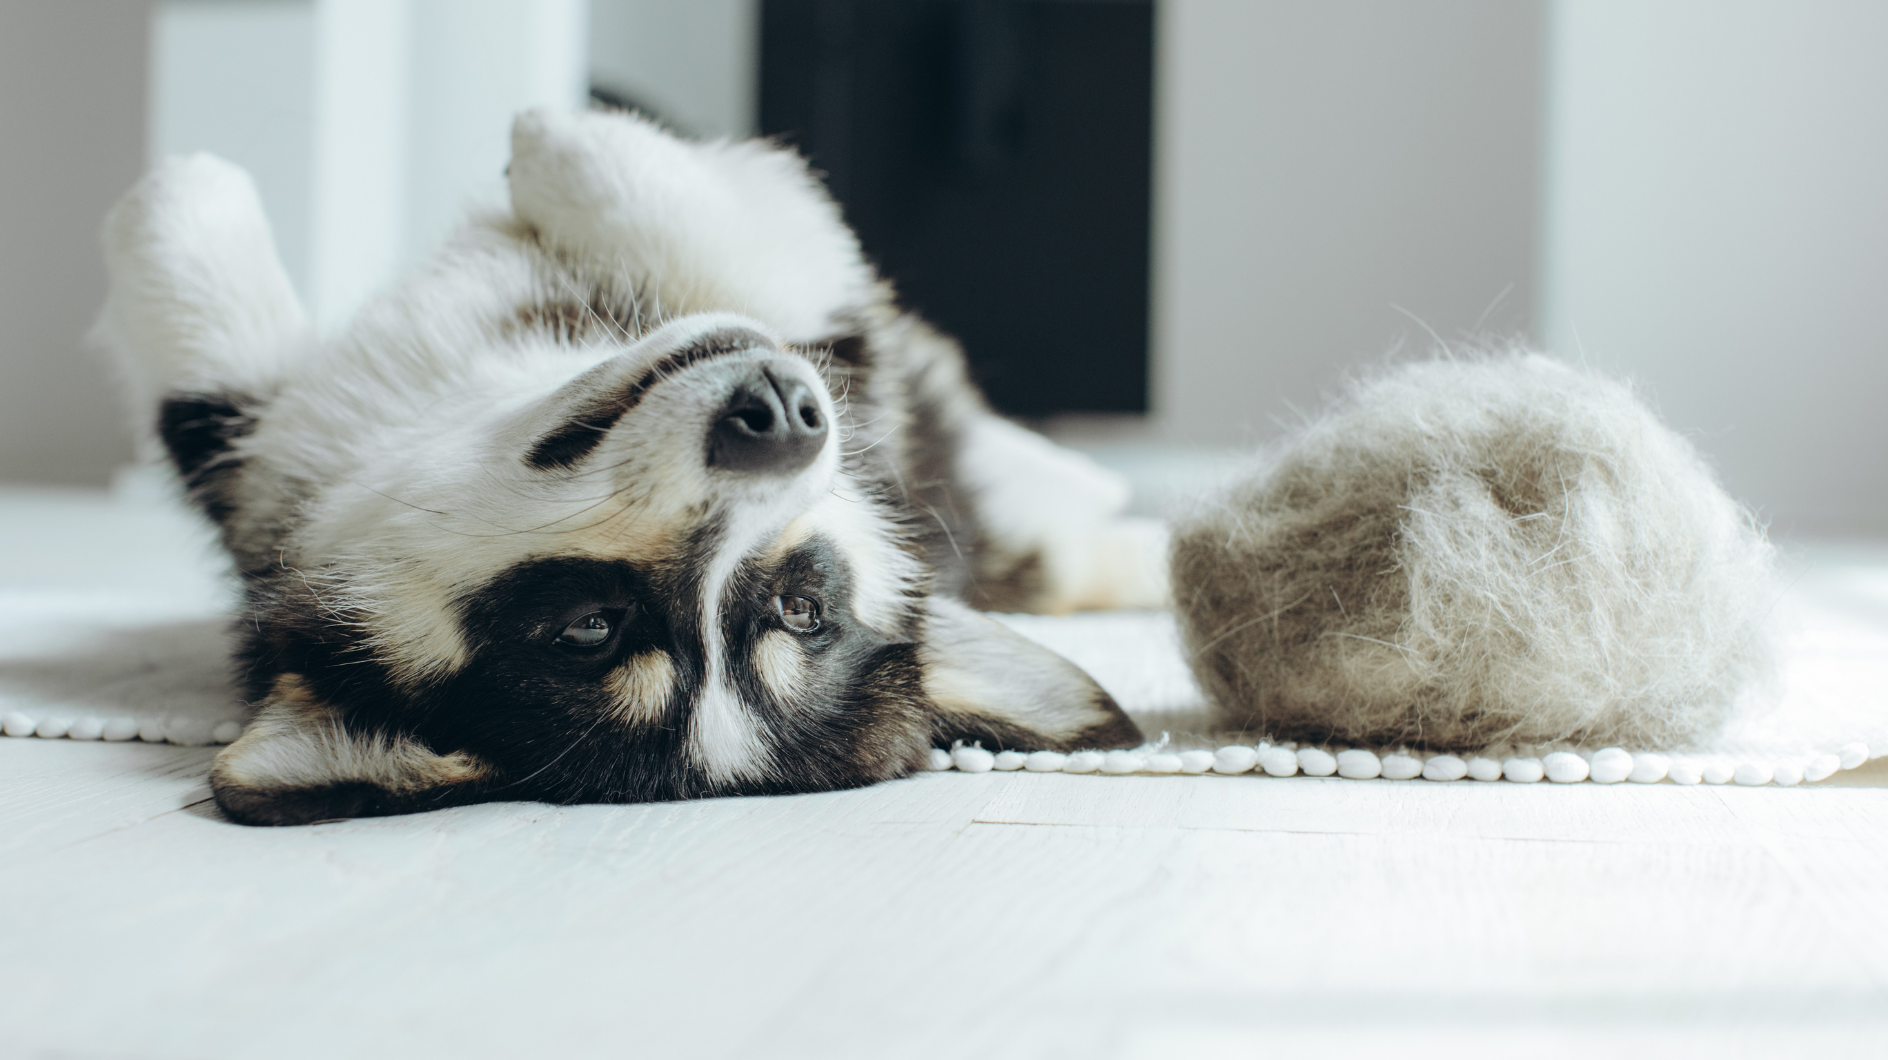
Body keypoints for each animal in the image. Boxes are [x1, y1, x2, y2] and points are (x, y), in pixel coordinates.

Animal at [92, 109, 1163, 827]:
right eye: (594, 627)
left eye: (800, 608)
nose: (783, 420)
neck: (468, 408)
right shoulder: (262, 455)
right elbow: (202, 361)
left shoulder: (832, 343)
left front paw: (558, 140)